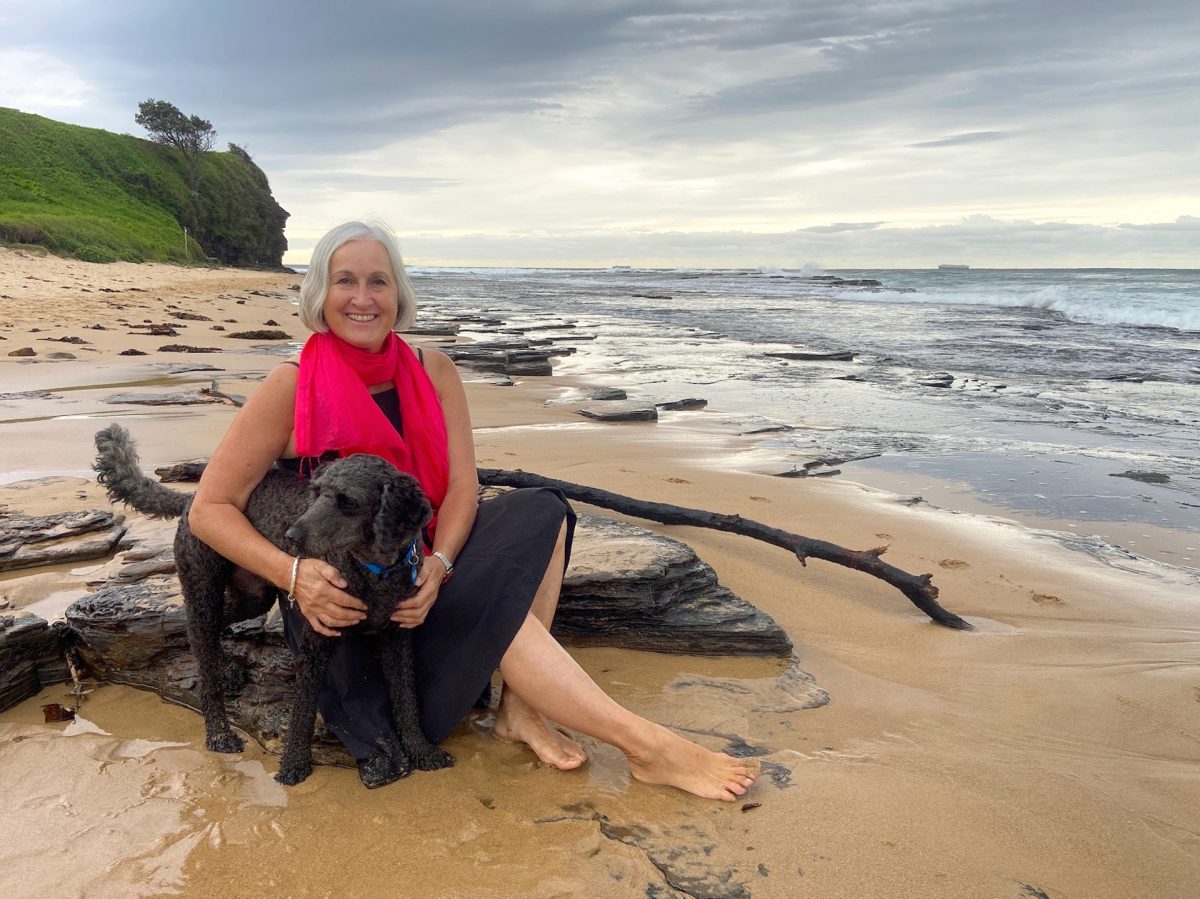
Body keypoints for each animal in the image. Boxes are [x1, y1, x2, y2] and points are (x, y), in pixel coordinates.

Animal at [93, 424, 453, 782]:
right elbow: (303, 709)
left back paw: (225, 668)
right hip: (203, 583)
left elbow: (406, 698)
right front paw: (293, 763)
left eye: (348, 501)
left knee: (201, 629)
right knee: (203, 652)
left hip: (252, 596)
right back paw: (219, 732)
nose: (292, 536)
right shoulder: (317, 640)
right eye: (316, 491)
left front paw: (422, 750)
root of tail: (193, 497)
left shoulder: (398, 637)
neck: (374, 572)